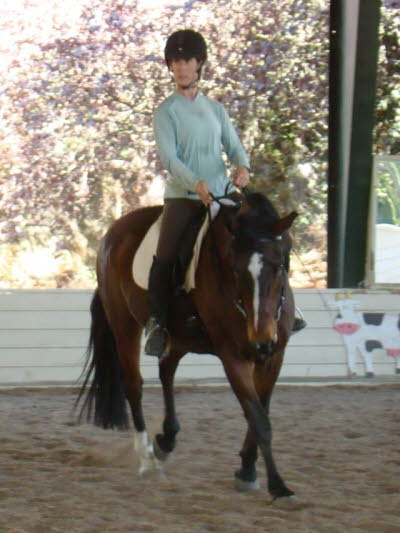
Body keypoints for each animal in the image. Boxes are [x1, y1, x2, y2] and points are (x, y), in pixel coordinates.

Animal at [76, 190, 298, 502]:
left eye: (278, 267)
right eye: (236, 270)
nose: (260, 340)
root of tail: (111, 233)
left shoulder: (275, 356)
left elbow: (261, 410)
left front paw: (247, 469)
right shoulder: (233, 356)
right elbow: (258, 418)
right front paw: (278, 486)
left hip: (179, 336)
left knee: (166, 371)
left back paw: (167, 439)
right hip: (123, 322)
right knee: (134, 385)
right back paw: (147, 460)